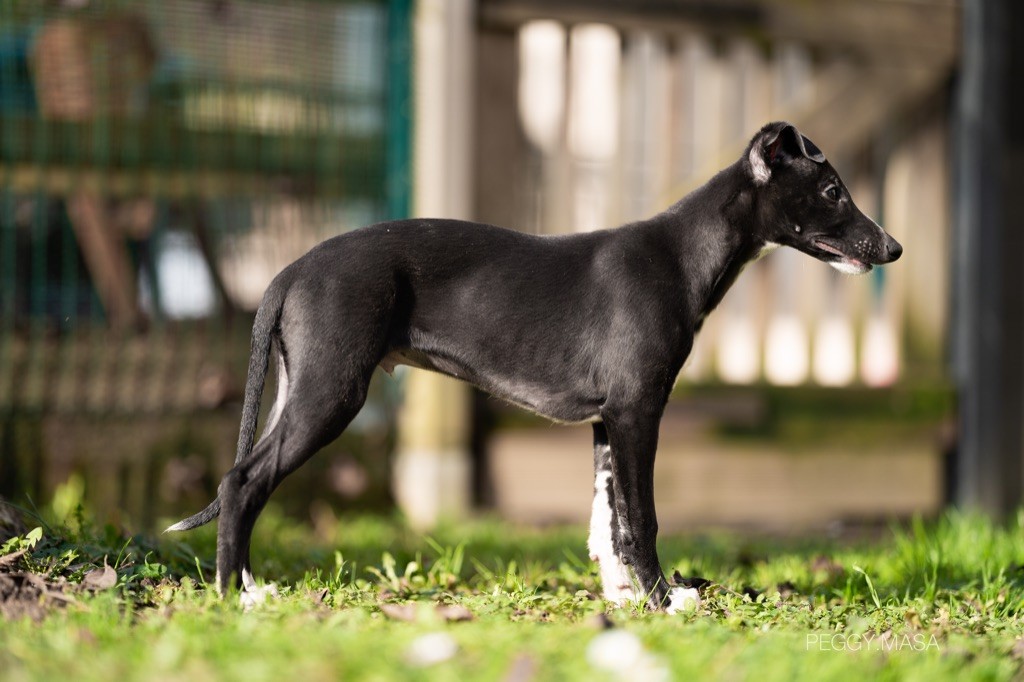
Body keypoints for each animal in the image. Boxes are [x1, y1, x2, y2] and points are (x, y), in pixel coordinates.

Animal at [168, 122, 902, 612]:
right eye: (832, 189)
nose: (892, 248)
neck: (681, 252)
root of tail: (290, 270)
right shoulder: (638, 411)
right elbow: (643, 517)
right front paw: (665, 603)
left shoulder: (609, 421)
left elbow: (609, 521)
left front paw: (625, 601)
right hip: (331, 392)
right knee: (241, 482)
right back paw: (233, 599)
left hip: (302, 386)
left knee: (247, 479)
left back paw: (251, 585)